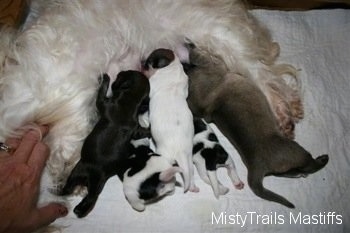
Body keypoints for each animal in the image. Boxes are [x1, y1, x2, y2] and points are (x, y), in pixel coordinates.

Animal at [60, 70, 150, 217]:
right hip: (82, 176)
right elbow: (142, 131)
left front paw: (105, 78)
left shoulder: (103, 103)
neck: (130, 100)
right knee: (72, 189)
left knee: (89, 197)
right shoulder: (136, 129)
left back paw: (79, 209)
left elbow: (101, 92)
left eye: (121, 75)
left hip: (83, 174)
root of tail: (90, 175)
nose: (119, 72)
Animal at [142, 48, 197, 193]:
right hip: (189, 158)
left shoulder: (152, 82)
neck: (173, 66)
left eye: (148, 62)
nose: (141, 62)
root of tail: (180, 151)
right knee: (190, 172)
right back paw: (193, 187)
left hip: (163, 154)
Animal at [185, 44, 330, 208]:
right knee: (310, 165)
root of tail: (257, 166)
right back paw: (322, 159)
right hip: (296, 152)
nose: (189, 45)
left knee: (293, 172)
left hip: (282, 169)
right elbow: (201, 58)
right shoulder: (213, 68)